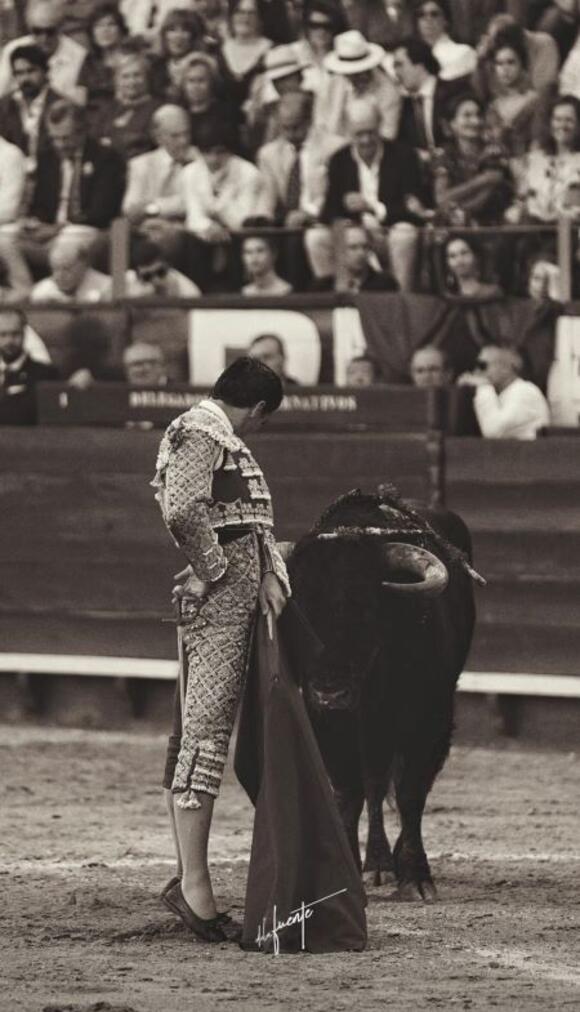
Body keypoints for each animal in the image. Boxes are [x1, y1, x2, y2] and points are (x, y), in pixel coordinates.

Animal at [287, 489, 477, 902]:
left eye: (364, 610)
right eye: (298, 614)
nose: (330, 692)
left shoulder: (429, 720)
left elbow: (410, 793)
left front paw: (416, 878)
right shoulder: (327, 724)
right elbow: (349, 792)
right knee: (372, 786)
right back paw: (377, 864)